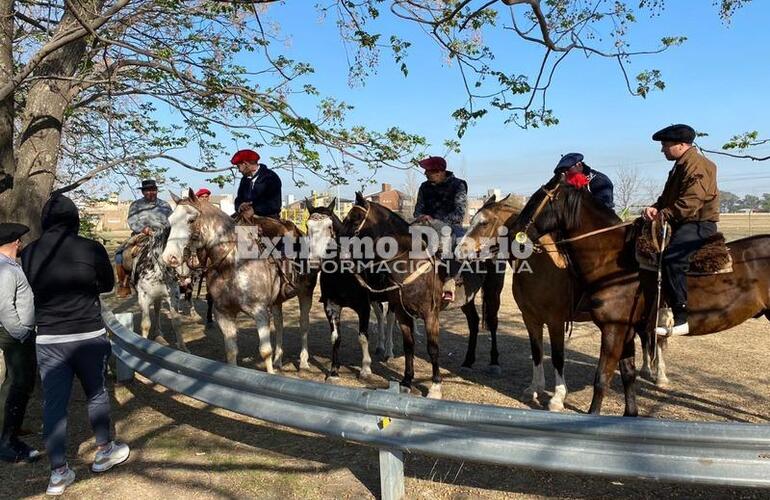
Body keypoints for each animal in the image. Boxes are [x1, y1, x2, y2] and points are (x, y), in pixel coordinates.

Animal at [340, 192, 508, 398]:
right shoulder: (402, 314)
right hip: (466, 299)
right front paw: (406, 381)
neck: (410, 262)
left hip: (493, 290)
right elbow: (409, 345)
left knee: (492, 322)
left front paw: (435, 386)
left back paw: (494, 363)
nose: (337, 245)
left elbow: (433, 348)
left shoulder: (430, 315)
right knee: (474, 322)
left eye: (355, 219)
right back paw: (468, 362)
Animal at [510, 174, 768, 416]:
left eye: (535, 200)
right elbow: (627, 373)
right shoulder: (625, 330)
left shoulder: (612, 328)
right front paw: (630, 413)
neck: (614, 263)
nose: (513, 233)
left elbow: (601, 377)